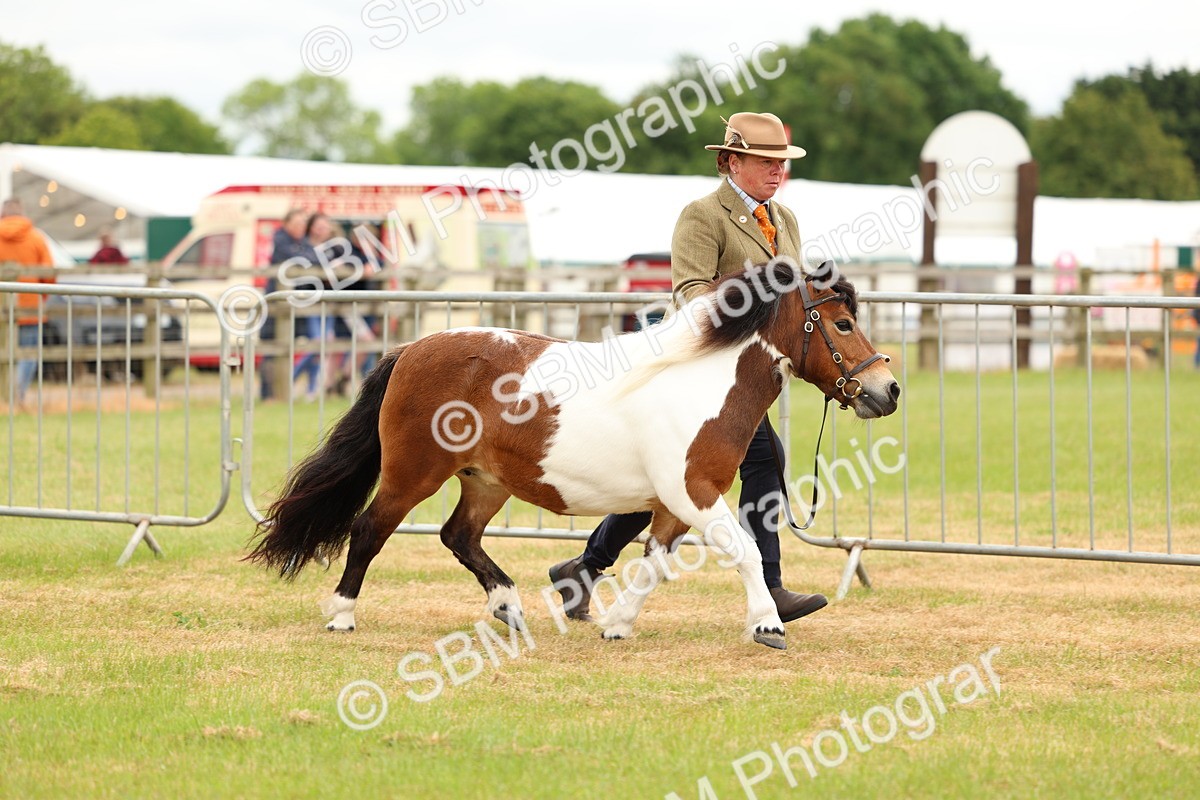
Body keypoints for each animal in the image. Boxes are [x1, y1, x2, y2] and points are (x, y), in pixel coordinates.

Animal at [247, 259, 899, 649]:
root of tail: (409, 349)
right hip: (414, 474)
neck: (700, 381)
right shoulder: (695, 492)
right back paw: (341, 614)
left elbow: (653, 563)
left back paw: (510, 608)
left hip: (485, 480)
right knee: (369, 530)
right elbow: (744, 551)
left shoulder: (672, 504)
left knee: (459, 536)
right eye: (843, 324)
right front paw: (767, 624)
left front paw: (616, 624)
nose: (887, 390)